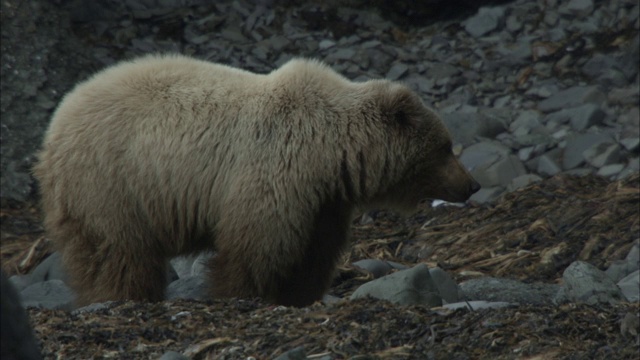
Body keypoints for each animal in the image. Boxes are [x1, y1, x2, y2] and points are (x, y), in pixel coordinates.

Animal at [32, 54, 478, 306]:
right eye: (445, 147)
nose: (471, 185)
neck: (331, 150)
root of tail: (55, 124)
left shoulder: (324, 201)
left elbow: (313, 252)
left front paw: (300, 295)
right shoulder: (275, 170)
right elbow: (256, 244)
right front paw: (242, 293)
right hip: (111, 180)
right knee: (119, 250)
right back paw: (123, 296)